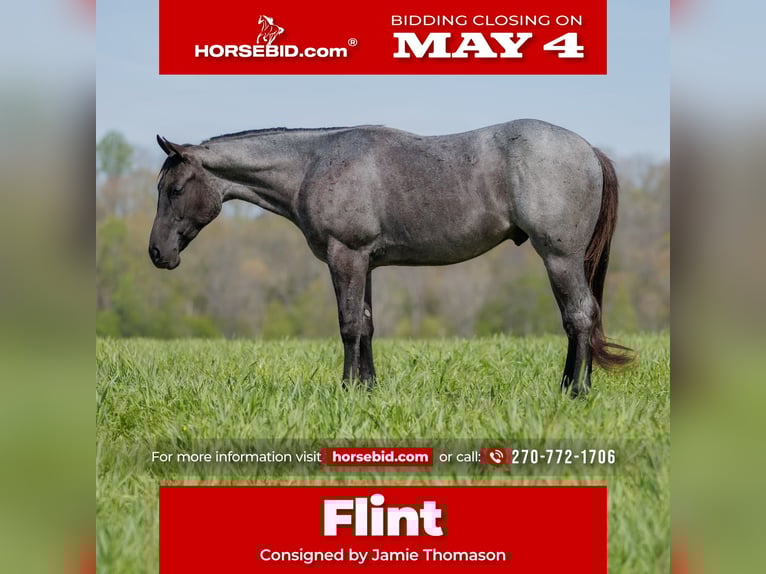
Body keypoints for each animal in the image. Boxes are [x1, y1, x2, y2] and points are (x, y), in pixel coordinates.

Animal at [149, 120, 633, 396]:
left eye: (174, 189)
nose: (157, 252)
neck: (314, 164)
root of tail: (590, 151)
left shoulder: (344, 255)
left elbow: (348, 326)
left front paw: (347, 391)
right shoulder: (364, 262)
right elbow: (366, 324)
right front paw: (368, 389)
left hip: (559, 257)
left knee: (579, 316)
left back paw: (574, 390)